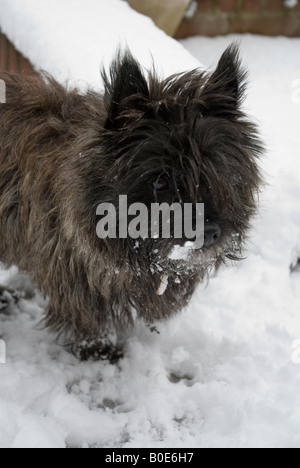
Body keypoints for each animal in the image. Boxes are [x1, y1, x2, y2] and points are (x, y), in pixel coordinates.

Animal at [0, 44, 262, 354]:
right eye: (161, 180)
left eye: (217, 171)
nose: (209, 232)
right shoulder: (77, 284)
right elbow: (90, 323)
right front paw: (99, 353)